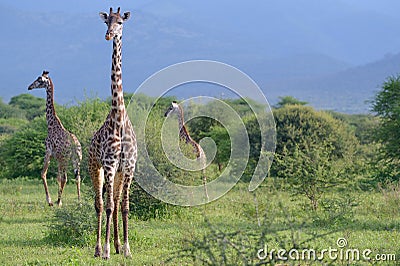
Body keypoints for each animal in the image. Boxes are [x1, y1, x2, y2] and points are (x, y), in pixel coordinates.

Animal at [27, 71, 82, 208]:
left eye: (39, 79)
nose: (29, 87)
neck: (51, 124)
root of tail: (74, 144)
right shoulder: (56, 157)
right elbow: (56, 177)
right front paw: (56, 199)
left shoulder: (48, 151)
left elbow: (43, 173)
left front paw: (50, 200)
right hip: (76, 159)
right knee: (77, 177)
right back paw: (79, 202)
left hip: (64, 159)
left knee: (65, 177)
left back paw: (58, 201)